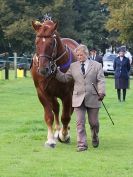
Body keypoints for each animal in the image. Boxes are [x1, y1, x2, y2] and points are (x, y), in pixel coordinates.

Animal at [30, 19, 79, 147]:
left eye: (51, 43)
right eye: (36, 42)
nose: (43, 69)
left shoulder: (68, 94)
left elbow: (66, 116)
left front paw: (64, 135)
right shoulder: (42, 92)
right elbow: (49, 116)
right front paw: (51, 139)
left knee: (68, 111)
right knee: (56, 108)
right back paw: (57, 131)